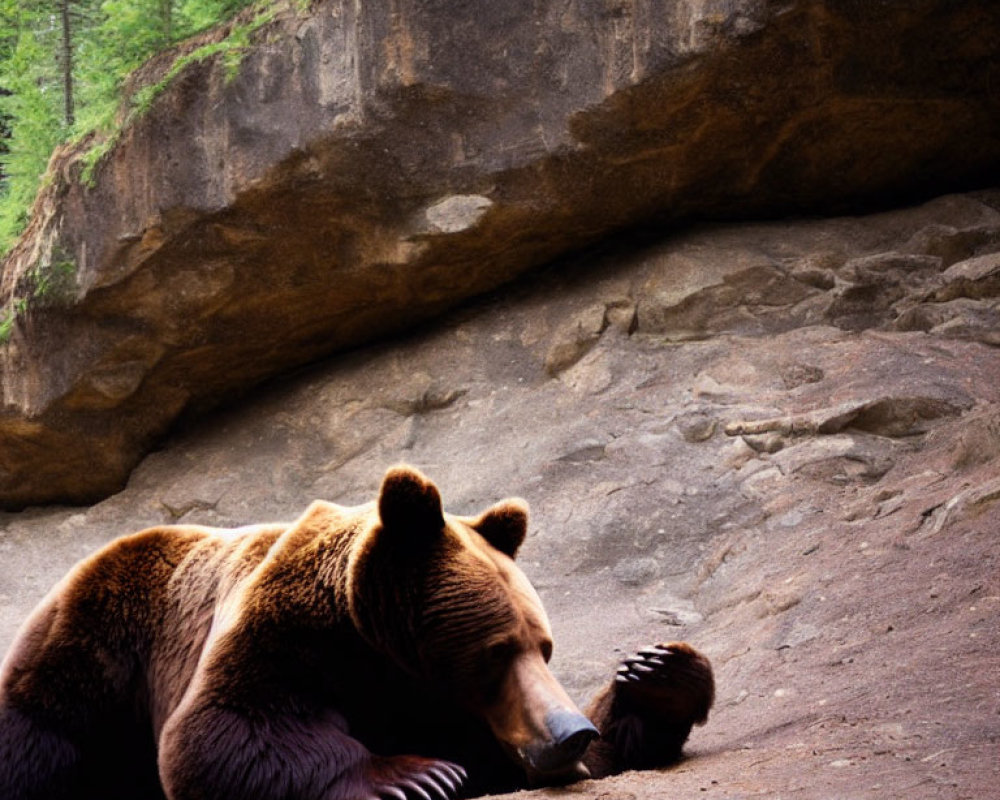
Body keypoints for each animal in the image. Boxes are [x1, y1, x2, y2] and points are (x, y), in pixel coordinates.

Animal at [1, 466, 720, 796]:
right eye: (496, 651)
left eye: (544, 648)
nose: (569, 730)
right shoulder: (286, 634)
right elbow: (220, 729)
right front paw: (414, 776)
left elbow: (597, 757)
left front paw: (657, 672)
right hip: (97, 654)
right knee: (42, 734)